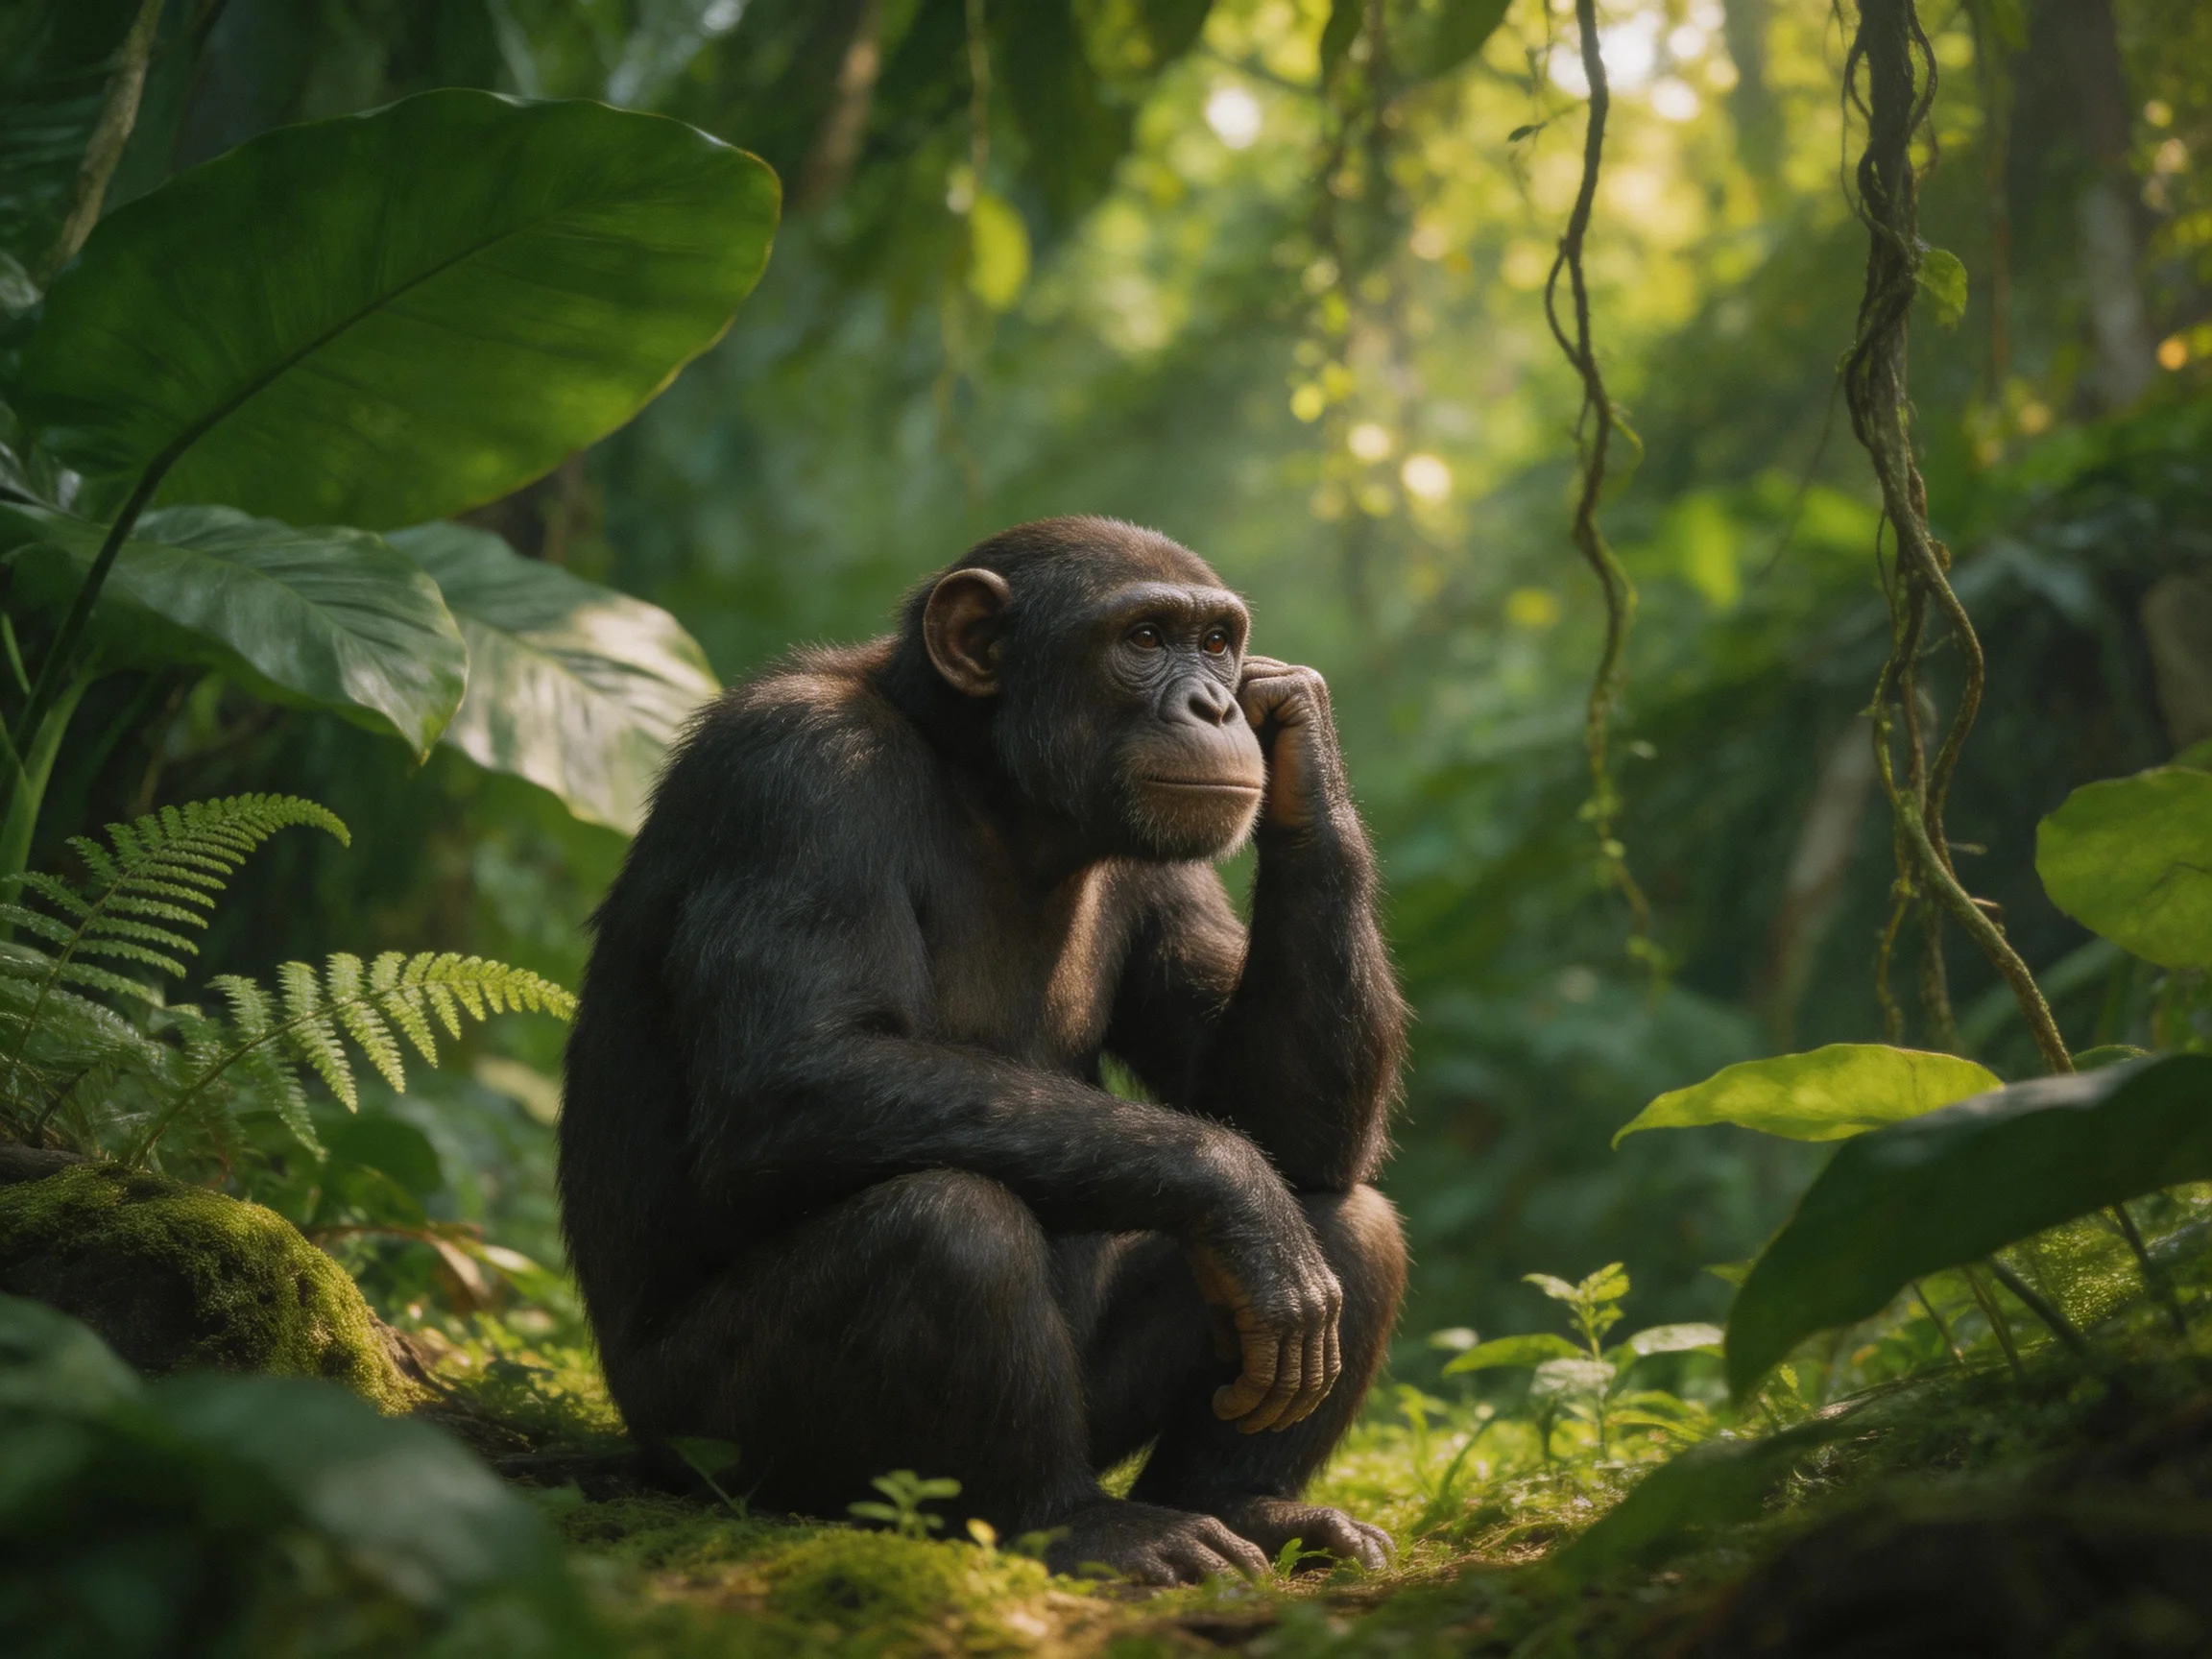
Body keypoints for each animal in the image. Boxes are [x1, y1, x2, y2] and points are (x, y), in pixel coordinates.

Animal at [559, 516, 1406, 1584]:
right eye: (1143, 638)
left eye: (1216, 643)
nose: (1216, 703)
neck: (994, 791)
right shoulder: (799, 774)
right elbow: (794, 1072)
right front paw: (1238, 1194)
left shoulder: (1166, 863)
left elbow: (1272, 1113)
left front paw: (1304, 736)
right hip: (708, 1436)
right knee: (947, 1227)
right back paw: (1078, 1522)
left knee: (1348, 1213)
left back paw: (1240, 1503)